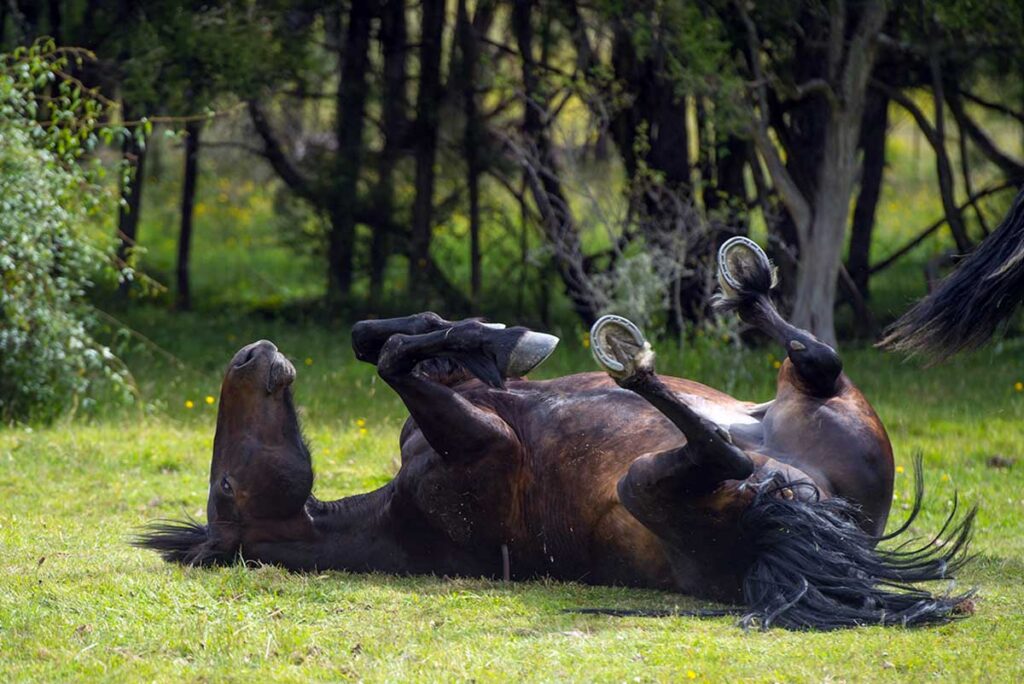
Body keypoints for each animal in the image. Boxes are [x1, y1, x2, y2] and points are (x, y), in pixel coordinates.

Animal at [136, 239, 975, 631]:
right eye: (226, 489)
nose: (251, 356)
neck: (396, 516)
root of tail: (818, 516)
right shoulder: (485, 448)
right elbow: (396, 358)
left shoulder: (456, 401)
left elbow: (379, 340)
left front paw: (500, 337)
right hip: (660, 484)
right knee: (723, 444)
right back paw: (633, 358)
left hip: (816, 403)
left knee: (813, 359)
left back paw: (742, 279)